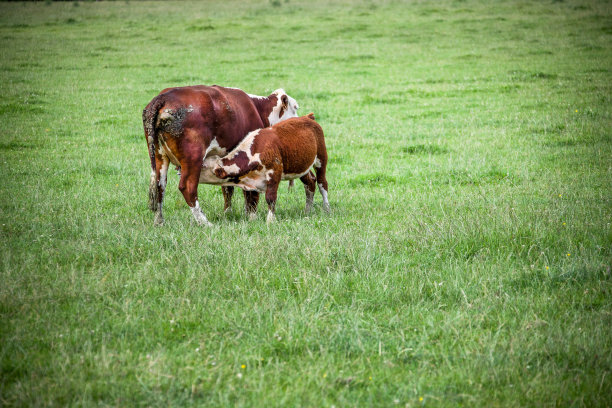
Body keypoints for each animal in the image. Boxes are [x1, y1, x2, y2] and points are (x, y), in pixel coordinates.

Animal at [142, 85, 298, 226]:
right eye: (295, 107)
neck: (257, 109)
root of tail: (163, 98)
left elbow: (227, 188)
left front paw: (228, 213)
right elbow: (250, 192)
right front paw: (251, 216)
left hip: (159, 156)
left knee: (159, 186)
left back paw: (159, 221)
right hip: (193, 158)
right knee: (187, 187)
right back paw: (205, 223)